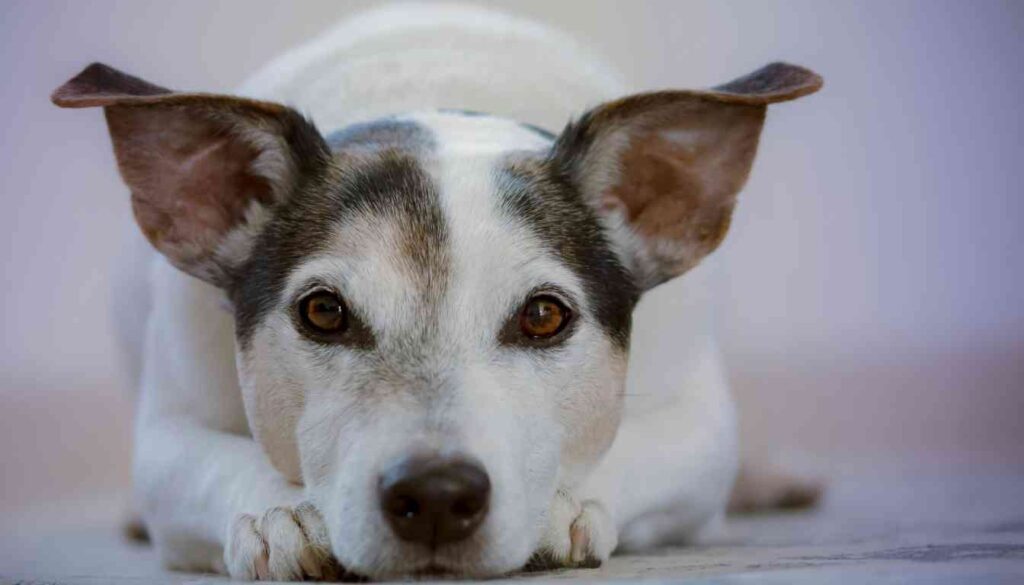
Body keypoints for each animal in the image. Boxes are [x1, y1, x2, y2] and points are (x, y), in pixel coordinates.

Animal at [49, 3, 823, 581]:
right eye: (322, 311)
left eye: (544, 316)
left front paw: (560, 505)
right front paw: (282, 513)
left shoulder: (700, 423)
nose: (438, 494)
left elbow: (635, 448)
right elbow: (213, 462)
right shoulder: (166, 435)